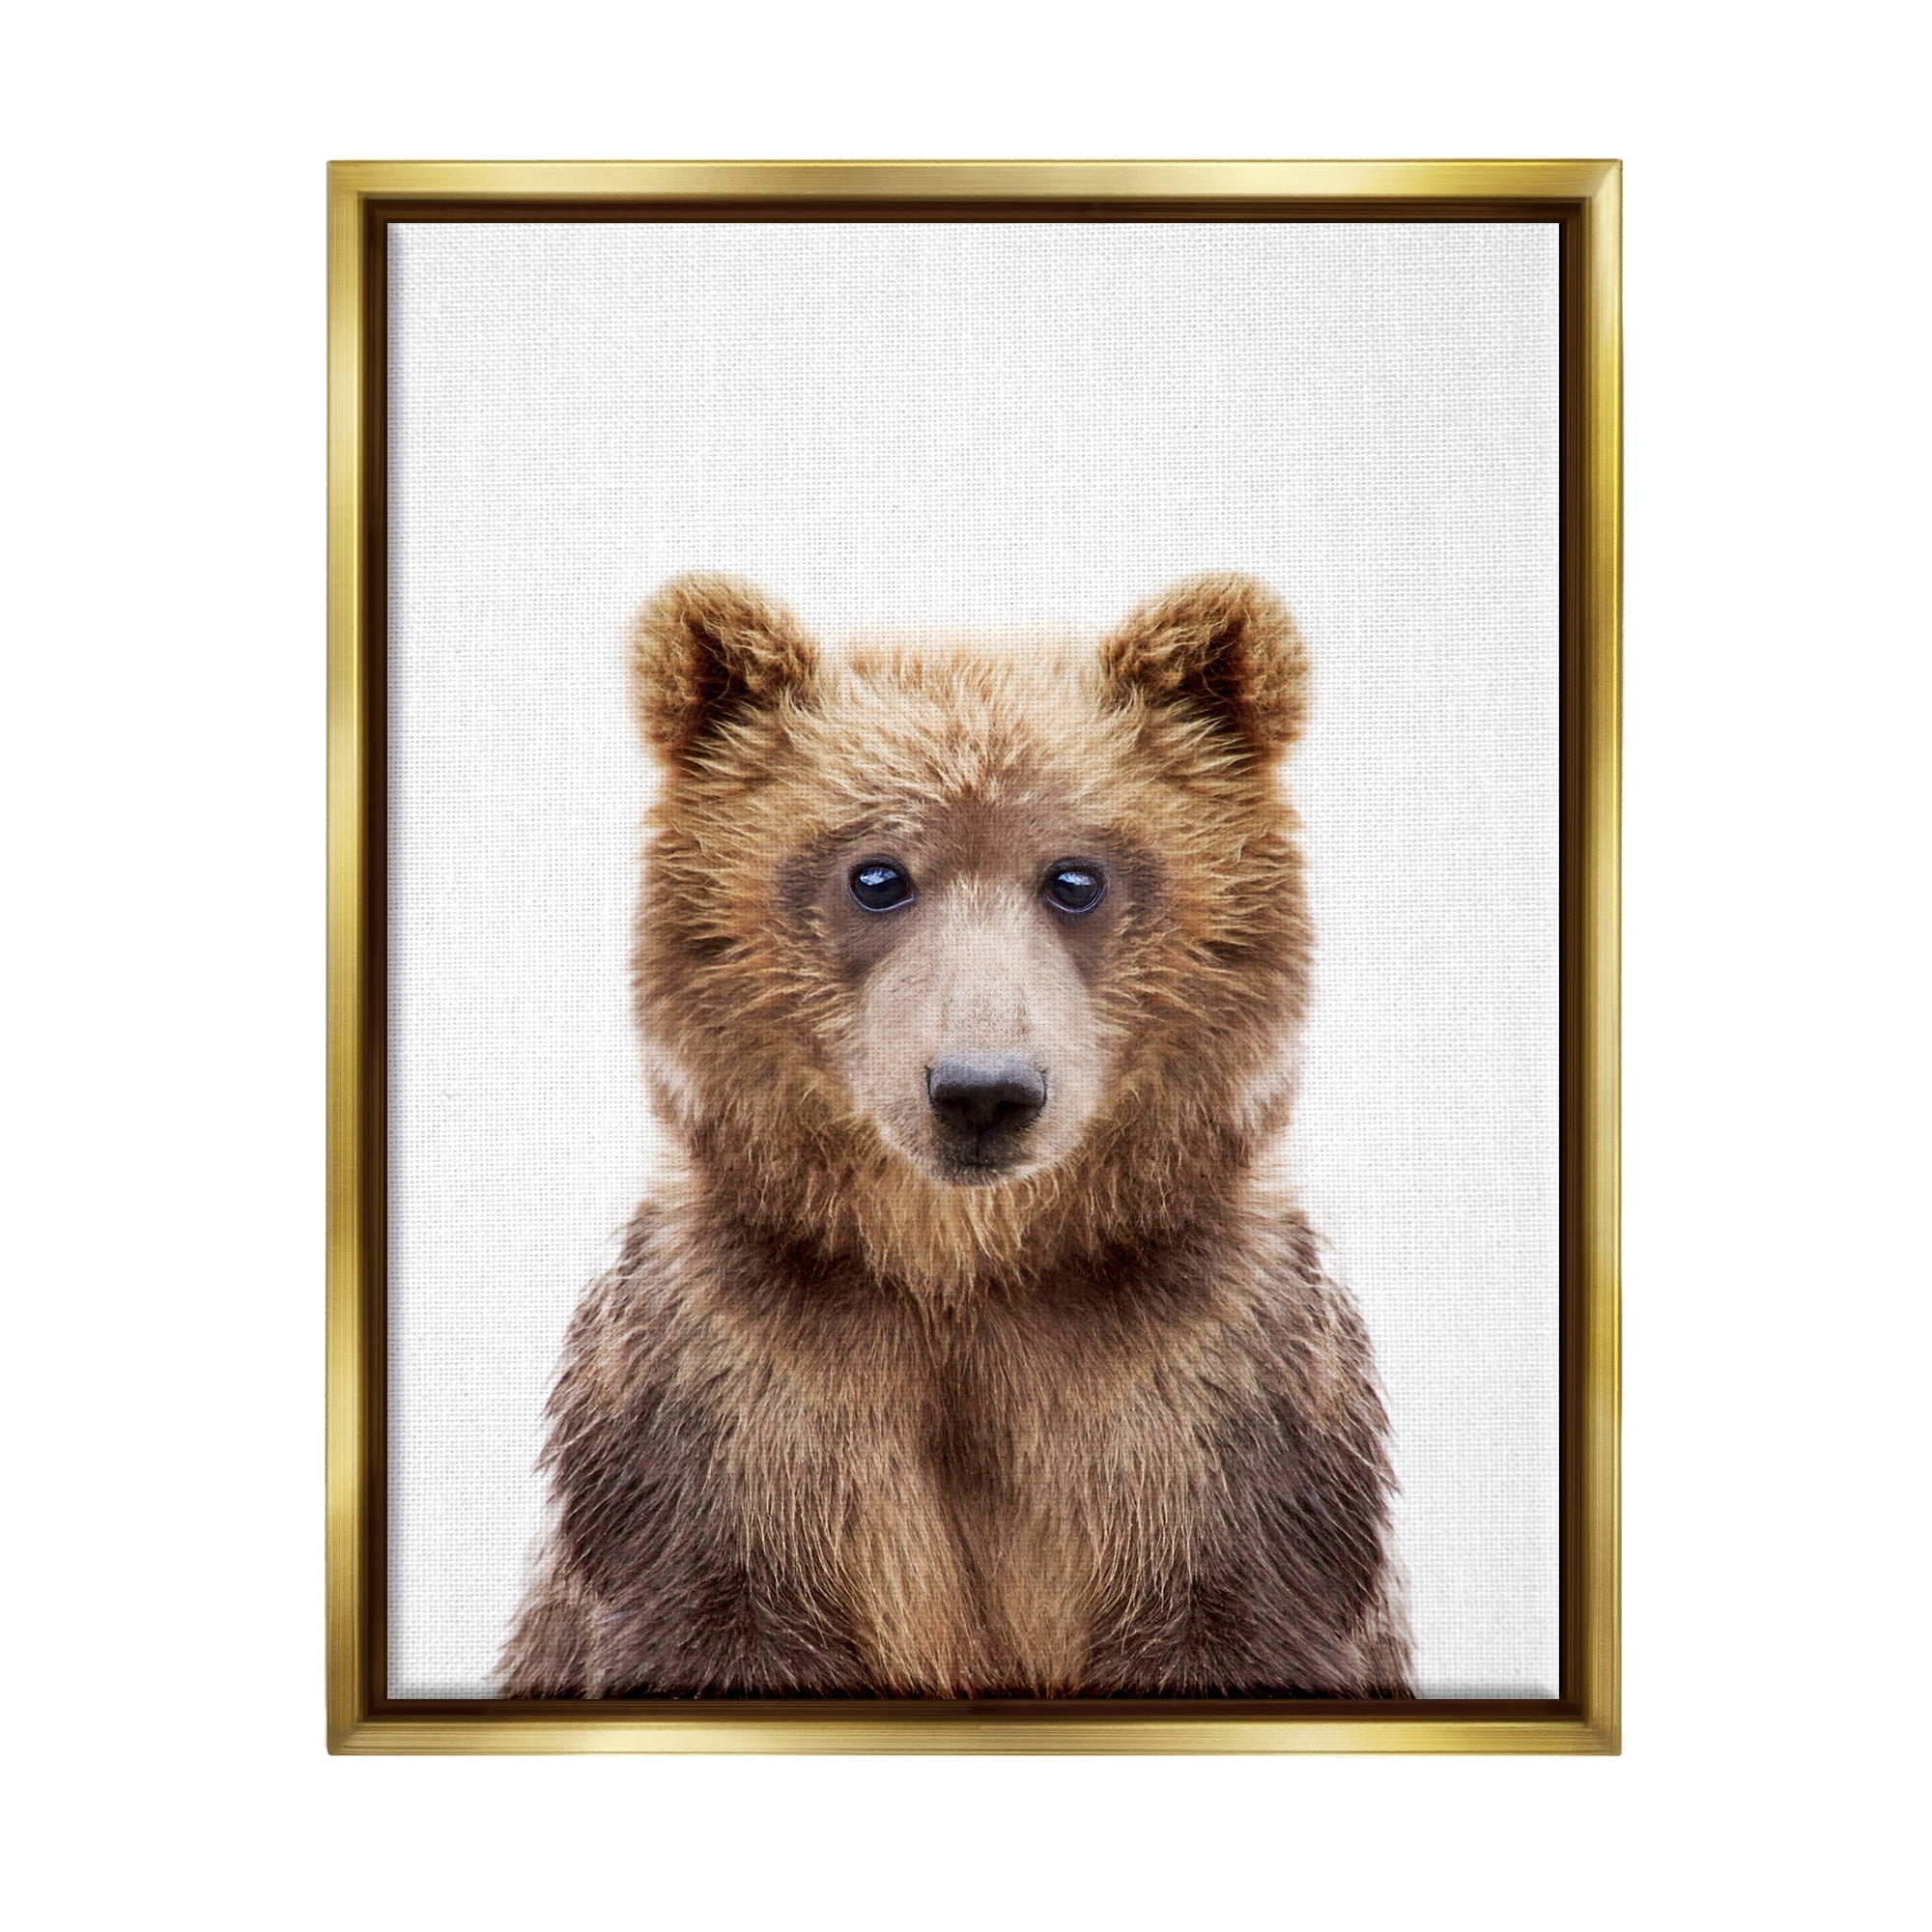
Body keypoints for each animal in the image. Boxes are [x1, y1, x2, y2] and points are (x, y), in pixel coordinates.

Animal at [497, 572, 1410, 1699]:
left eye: (1075, 875)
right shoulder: (732, 1407)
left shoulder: (1210, 1407)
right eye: (876, 873)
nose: (982, 1090)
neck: (965, 1273)